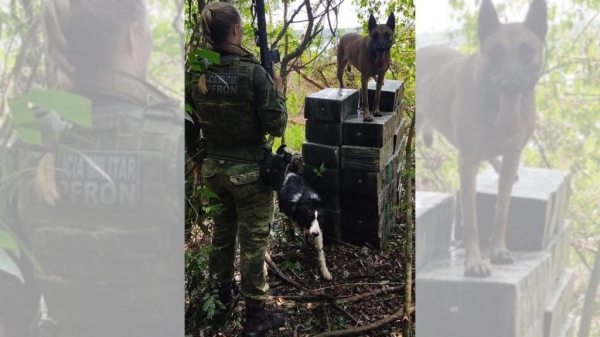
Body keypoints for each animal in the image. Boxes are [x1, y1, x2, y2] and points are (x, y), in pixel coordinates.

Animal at [418, 0, 548, 276]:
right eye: (495, 52)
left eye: (526, 51)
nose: (510, 85)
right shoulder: (467, 164)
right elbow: (471, 221)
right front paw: (475, 262)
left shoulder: (512, 158)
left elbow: (502, 212)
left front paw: (498, 250)